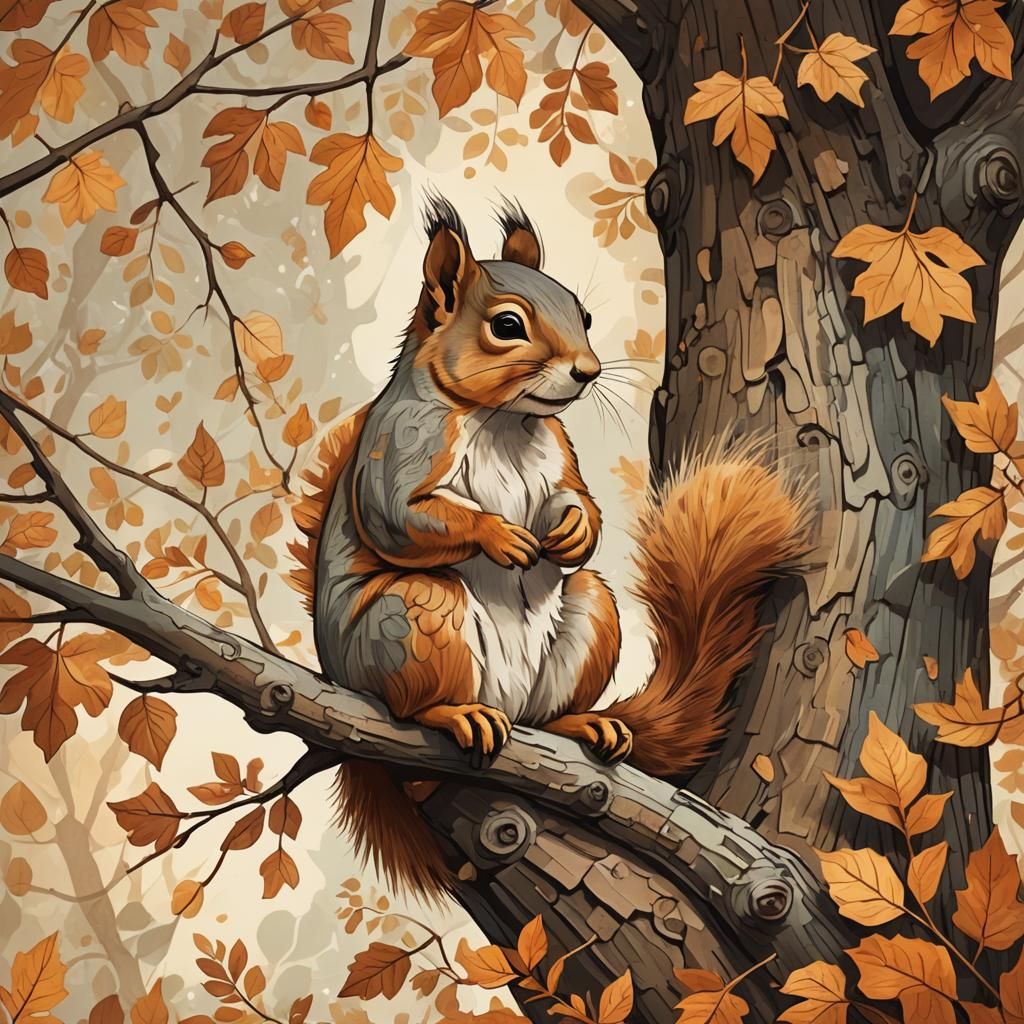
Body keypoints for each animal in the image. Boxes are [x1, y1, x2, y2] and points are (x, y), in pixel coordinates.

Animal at [288, 195, 811, 901]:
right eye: (507, 325)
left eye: (582, 314)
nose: (587, 371)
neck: (505, 419)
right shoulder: (401, 444)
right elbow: (399, 515)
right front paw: (499, 535)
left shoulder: (560, 456)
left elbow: (577, 499)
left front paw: (574, 531)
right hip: (411, 618)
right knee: (412, 695)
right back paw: (454, 713)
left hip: (586, 619)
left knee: (557, 681)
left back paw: (582, 725)